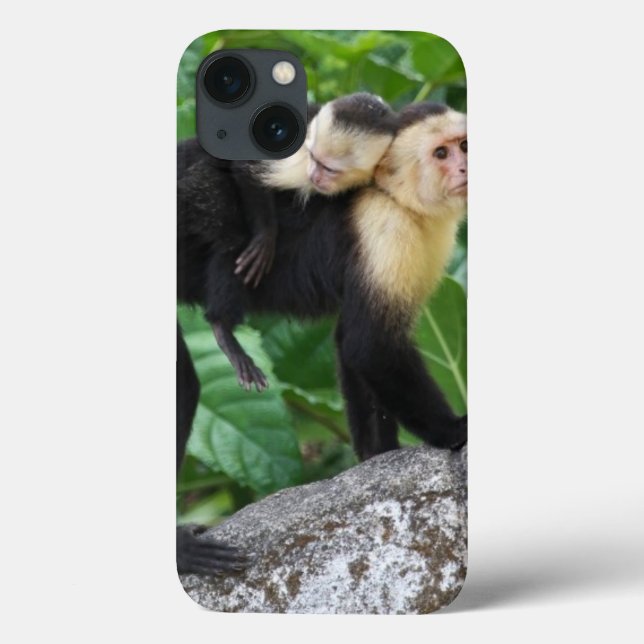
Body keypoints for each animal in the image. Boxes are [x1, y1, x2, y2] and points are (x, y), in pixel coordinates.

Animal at [177, 101, 468, 471]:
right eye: (441, 153)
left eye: (464, 146)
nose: (464, 167)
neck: (397, 199)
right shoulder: (385, 230)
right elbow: (370, 346)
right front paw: (452, 430)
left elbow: (349, 341)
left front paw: (376, 454)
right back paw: (222, 325)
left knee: (185, 387)